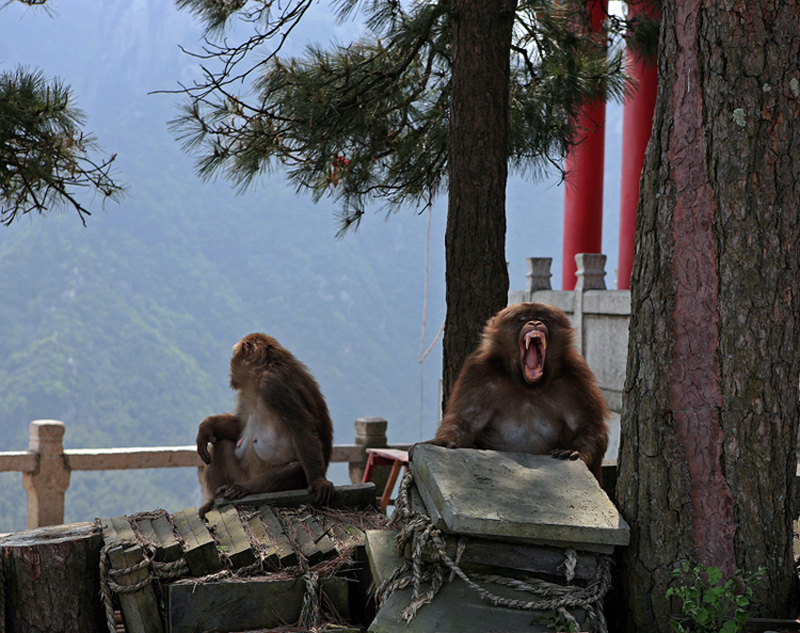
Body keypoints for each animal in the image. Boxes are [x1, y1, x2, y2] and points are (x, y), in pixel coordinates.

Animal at [197, 334, 334, 516]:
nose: (231, 372)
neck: (262, 371)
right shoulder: (247, 392)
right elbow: (238, 427)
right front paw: (207, 426)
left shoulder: (274, 386)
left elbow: (302, 428)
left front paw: (319, 481)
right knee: (222, 444)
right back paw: (214, 499)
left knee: (296, 467)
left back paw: (243, 488)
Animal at [422, 302, 608, 478]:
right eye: (523, 318)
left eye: (542, 317)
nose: (535, 322)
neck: (528, 385)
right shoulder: (478, 372)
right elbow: (465, 422)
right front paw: (445, 441)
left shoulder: (575, 375)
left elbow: (588, 424)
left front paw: (575, 450)